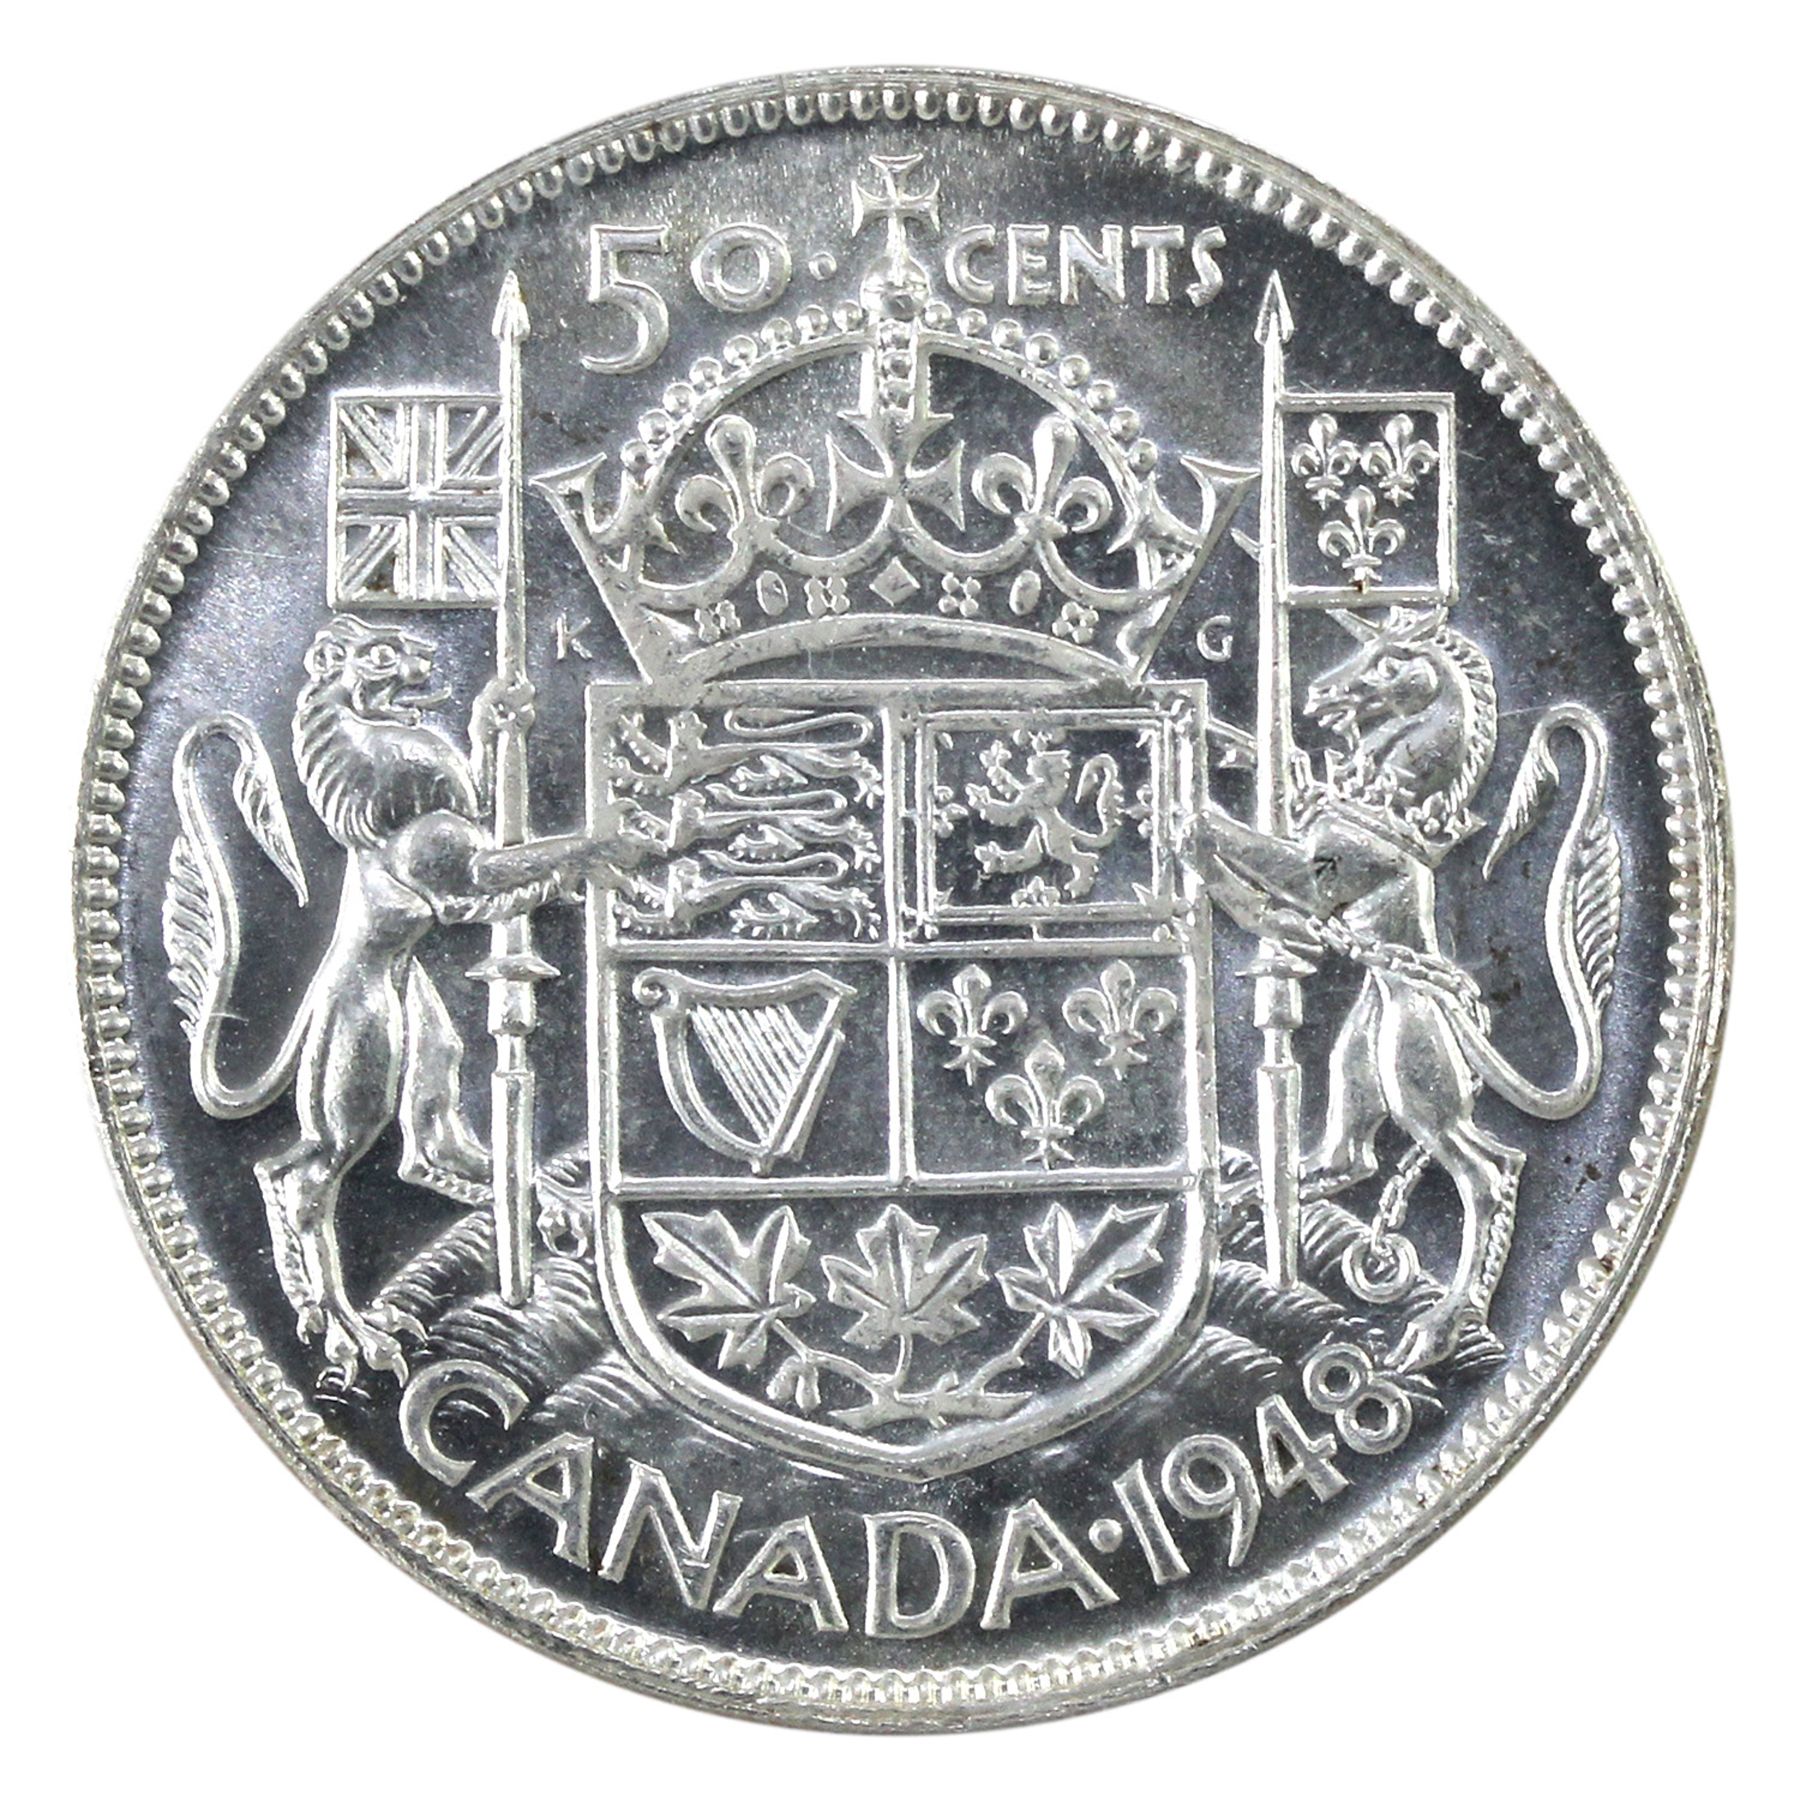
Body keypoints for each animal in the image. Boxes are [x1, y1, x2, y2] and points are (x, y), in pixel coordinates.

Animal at [163, 615, 672, 1383]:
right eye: (380, 652)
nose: (428, 653)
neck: (372, 750)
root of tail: (315, 1008)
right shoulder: (456, 873)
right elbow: (537, 858)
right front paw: (616, 842)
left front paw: (501, 710)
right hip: (363, 1061)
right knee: (301, 1180)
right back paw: (351, 1329)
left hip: (425, 1036)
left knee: (422, 1151)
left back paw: (542, 1206)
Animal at [1191, 605, 1621, 1370]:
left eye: (1388, 661)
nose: (1316, 696)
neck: (1393, 799)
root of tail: (1461, 1018)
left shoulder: (1313, 875)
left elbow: (1226, 839)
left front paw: (1189, 824)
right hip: (1361, 1064)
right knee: (1348, 1157)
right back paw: (1249, 1199)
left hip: (1418, 1081)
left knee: (1491, 1172)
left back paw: (1442, 1327)